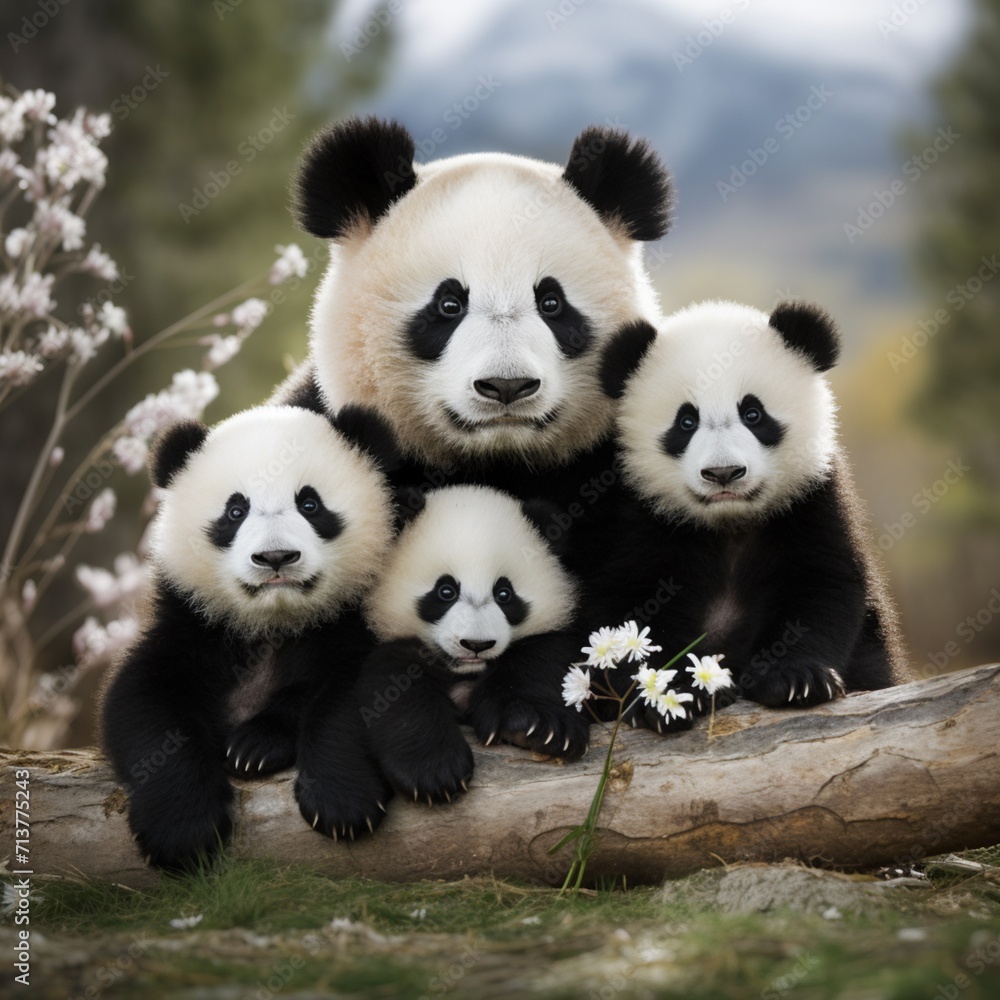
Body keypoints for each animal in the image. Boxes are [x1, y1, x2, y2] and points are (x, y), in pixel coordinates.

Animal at [100, 404, 396, 870]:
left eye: (310, 504)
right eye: (235, 511)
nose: (275, 557)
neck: (273, 622)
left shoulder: (353, 624)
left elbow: (356, 696)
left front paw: (339, 798)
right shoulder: (192, 626)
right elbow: (143, 704)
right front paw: (182, 831)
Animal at [294, 484, 586, 840]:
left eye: (504, 594)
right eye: (446, 591)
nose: (476, 645)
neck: (461, 672)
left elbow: (544, 653)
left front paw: (538, 726)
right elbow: (382, 685)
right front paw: (431, 771)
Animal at [591, 300, 907, 730]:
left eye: (753, 414)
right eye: (686, 421)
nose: (723, 473)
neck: (730, 524)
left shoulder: (815, 501)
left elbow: (820, 587)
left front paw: (795, 679)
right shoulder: (645, 520)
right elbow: (635, 613)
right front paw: (670, 696)